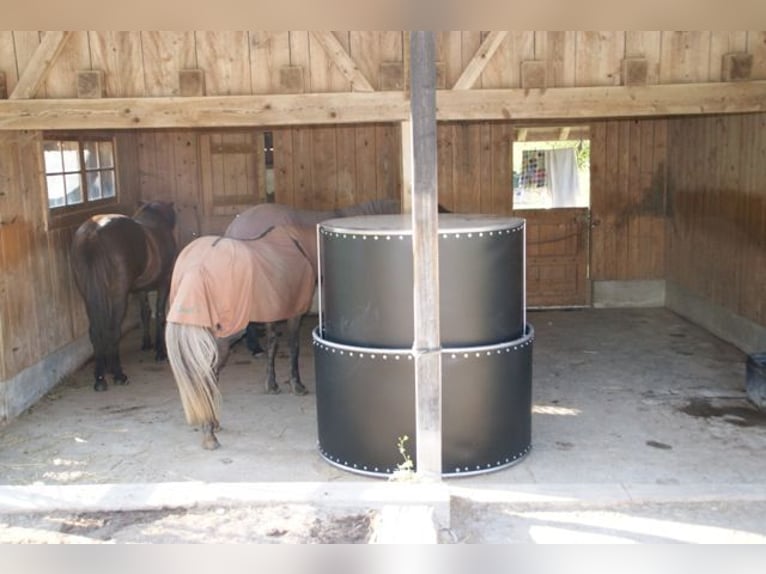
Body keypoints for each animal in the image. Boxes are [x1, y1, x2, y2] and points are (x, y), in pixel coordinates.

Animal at [70, 200, 178, 391]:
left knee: (95, 331)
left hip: (89, 296)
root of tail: (93, 232)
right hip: (118, 296)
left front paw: (147, 344)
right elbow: (159, 314)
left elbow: (145, 312)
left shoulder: (141, 289)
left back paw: (101, 376)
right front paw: (160, 351)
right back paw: (118, 374)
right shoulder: (164, 283)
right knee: (113, 330)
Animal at [165, 198, 401, 449]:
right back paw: (210, 431)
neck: (300, 246)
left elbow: (273, 346)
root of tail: (196, 267)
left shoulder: (271, 311)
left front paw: (272, 384)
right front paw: (297, 385)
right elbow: (293, 347)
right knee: (207, 373)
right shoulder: (294, 314)